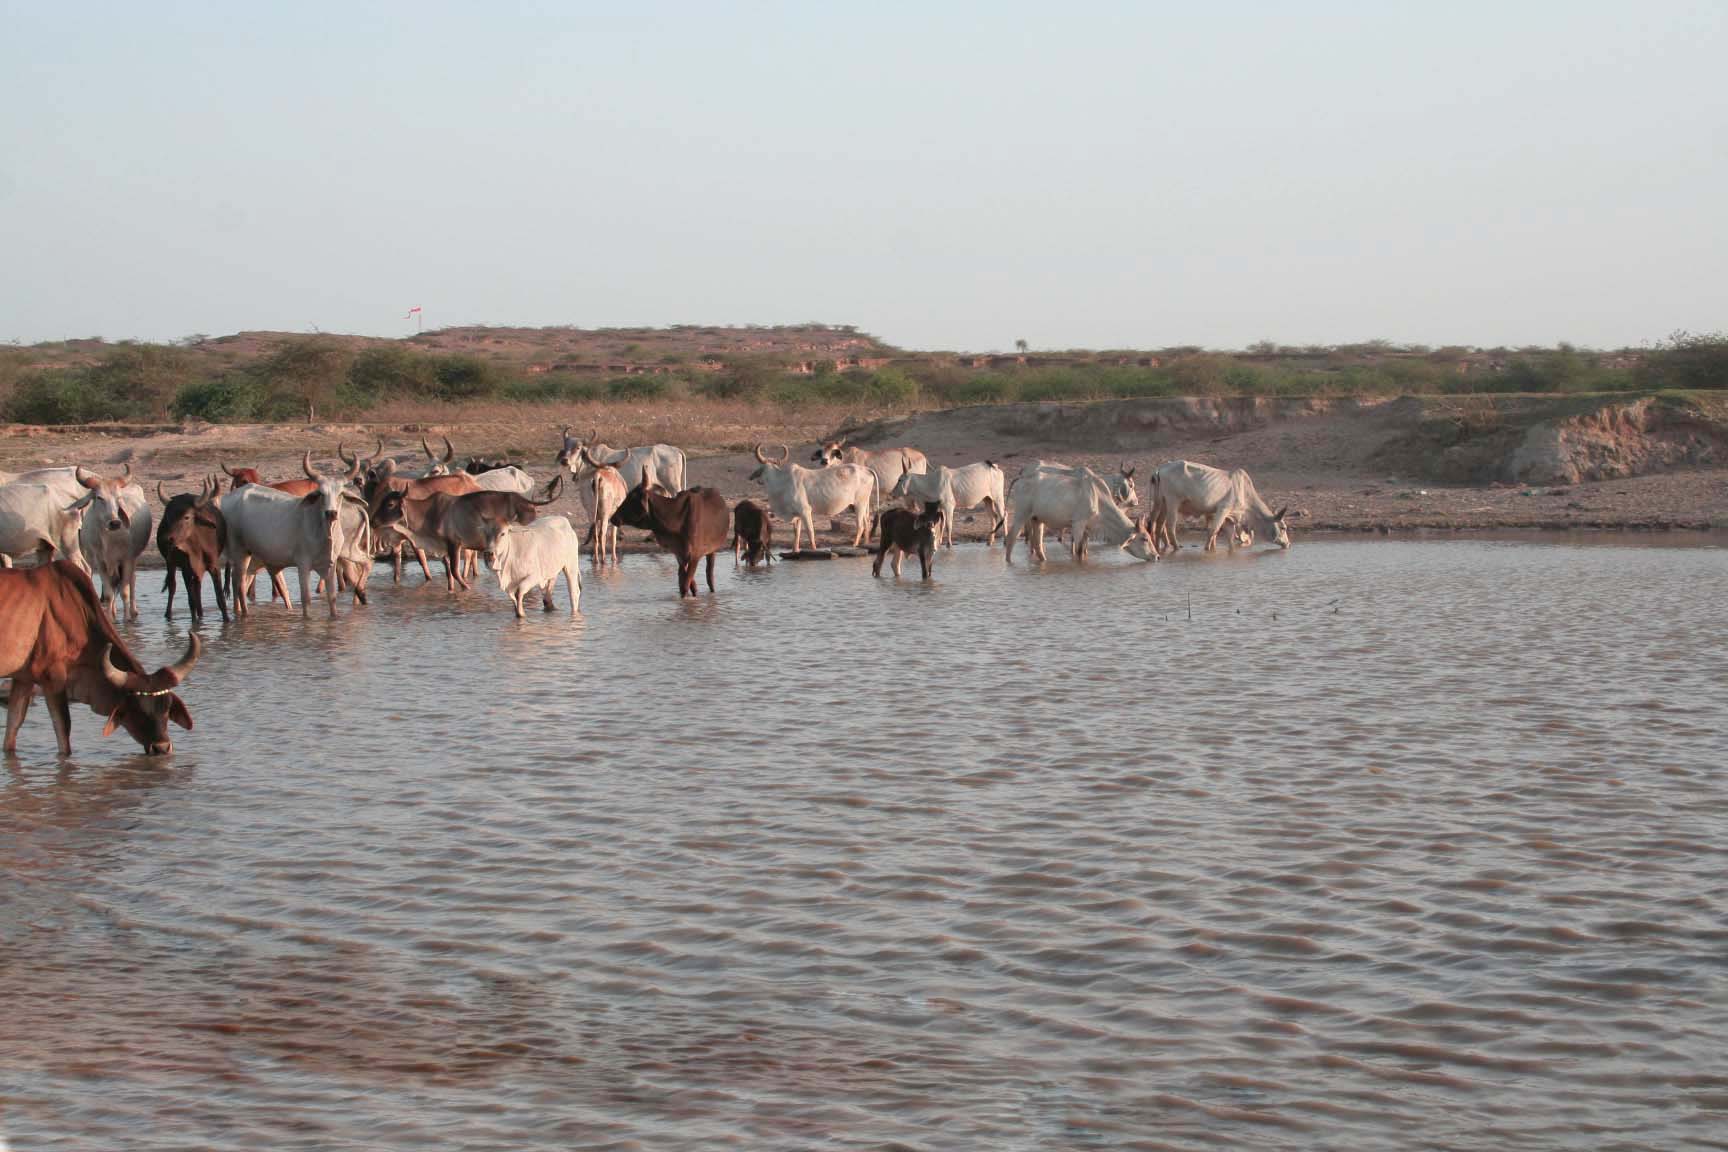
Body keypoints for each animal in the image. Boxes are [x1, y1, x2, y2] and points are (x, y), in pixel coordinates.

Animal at [222, 449, 371, 618]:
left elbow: (332, 599)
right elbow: (306, 598)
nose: (331, 513)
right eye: (321, 493)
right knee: (238, 584)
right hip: (240, 553)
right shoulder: (303, 564)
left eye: (340, 493)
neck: (323, 533)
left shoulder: (330, 565)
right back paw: (243, 615)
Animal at [749, 445, 877, 552]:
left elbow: (810, 532)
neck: (782, 481)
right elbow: (796, 533)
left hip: (859, 504)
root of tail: (866, 469)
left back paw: (854, 545)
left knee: (860, 526)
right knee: (867, 522)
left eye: (761, 469)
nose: (758, 481)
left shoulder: (805, 511)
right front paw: (795, 550)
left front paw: (814, 549)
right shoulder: (798, 515)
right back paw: (865, 544)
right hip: (864, 504)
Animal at [1002, 462, 1161, 563]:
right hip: (1021, 515)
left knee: (1038, 545)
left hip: (1037, 520)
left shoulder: (1087, 529)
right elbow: (1078, 550)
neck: (1098, 497)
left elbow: (1084, 550)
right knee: (1011, 539)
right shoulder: (1078, 524)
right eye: (1144, 538)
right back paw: (1009, 563)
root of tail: (1021, 477)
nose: (1157, 556)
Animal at [1147, 459, 1285, 552]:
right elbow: (1213, 530)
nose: (1287, 544)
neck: (1244, 490)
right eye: (1283, 528)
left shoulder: (1227, 516)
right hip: (1173, 502)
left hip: (1161, 503)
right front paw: (1207, 549)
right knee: (1170, 526)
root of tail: (1160, 469)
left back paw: (1158, 546)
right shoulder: (1223, 509)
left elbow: (1228, 535)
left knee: (1157, 524)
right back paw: (1176, 547)